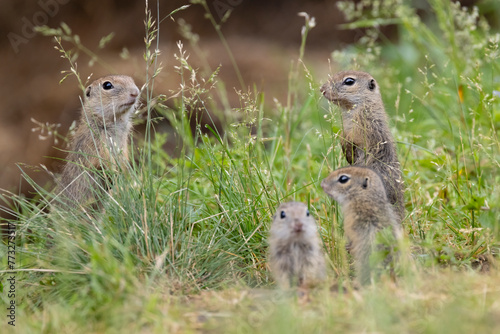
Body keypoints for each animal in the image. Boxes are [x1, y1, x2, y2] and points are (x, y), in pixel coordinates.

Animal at [55, 75, 140, 209]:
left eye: (131, 80)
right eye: (107, 85)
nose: (135, 92)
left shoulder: (123, 144)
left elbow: (123, 157)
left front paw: (123, 171)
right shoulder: (94, 142)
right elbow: (101, 159)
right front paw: (114, 172)